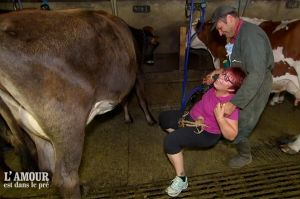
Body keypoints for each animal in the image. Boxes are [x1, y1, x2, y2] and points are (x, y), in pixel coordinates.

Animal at [0, 9, 150, 199]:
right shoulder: (138, 72)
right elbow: (141, 98)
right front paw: (149, 119)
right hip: (67, 123)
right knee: (66, 178)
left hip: (30, 125)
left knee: (46, 164)